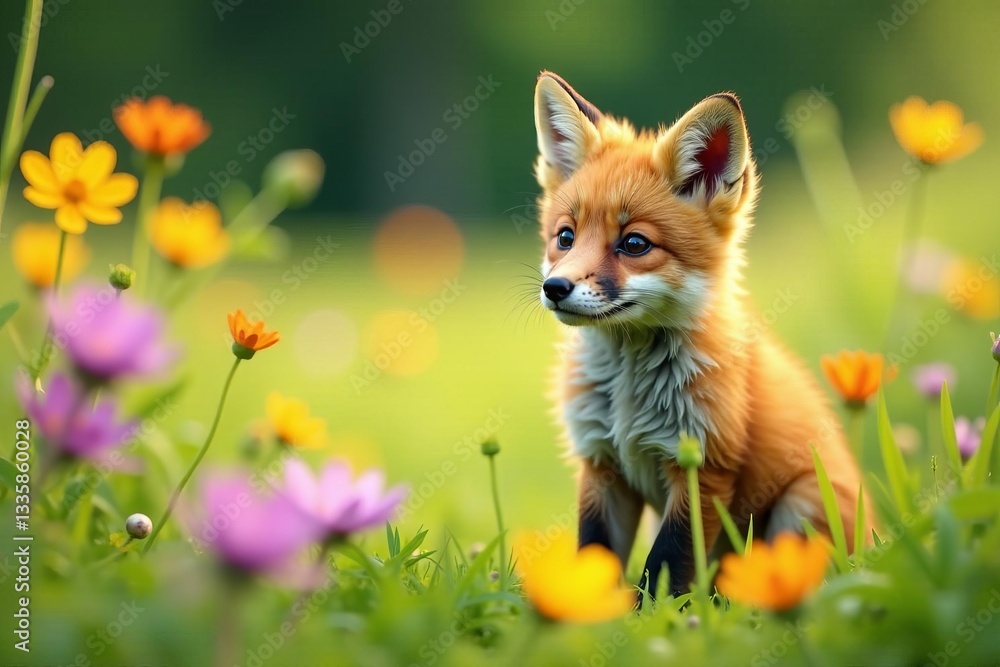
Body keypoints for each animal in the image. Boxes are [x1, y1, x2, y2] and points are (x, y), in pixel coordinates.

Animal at [531, 71, 873, 599]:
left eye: (634, 244)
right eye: (565, 237)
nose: (555, 288)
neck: (627, 396)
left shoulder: (703, 466)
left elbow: (665, 569)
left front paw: (652, 619)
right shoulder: (602, 465)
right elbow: (595, 556)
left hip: (800, 506)